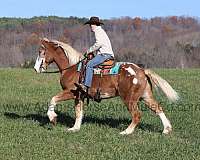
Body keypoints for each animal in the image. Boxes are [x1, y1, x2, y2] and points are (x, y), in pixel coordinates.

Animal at [33, 38, 179, 134]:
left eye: (41, 51)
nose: (35, 68)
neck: (72, 67)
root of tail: (141, 71)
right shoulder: (79, 96)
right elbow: (79, 112)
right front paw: (75, 128)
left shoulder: (71, 91)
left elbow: (53, 99)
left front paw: (52, 118)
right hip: (145, 96)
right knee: (158, 108)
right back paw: (166, 130)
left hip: (129, 99)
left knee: (137, 115)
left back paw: (126, 132)